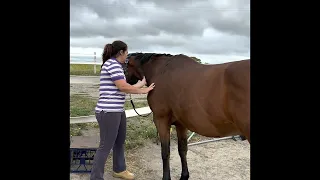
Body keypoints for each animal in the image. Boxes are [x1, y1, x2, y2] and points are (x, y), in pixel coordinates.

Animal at [122, 53, 250, 180]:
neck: (161, 71)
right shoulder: (181, 124)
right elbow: (182, 149)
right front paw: (184, 175)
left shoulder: (161, 120)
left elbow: (165, 152)